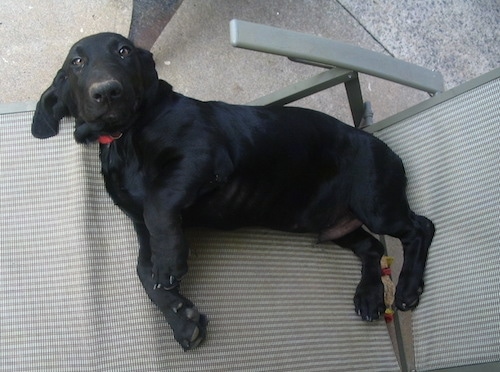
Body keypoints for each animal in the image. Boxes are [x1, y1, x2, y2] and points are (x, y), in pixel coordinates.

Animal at [31, 33, 434, 350]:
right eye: (77, 62)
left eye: (124, 51)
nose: (107, 92)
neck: (123, 137)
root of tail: (379, 141)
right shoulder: (140, 224)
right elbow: (144, 271)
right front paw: (182, 317)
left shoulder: (201, 157)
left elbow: (159, 207)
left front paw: (171, 263)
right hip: (332, 224)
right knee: (373, 247)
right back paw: (368, 296)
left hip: (375, 203)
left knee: (420, 227)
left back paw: (407, 288)